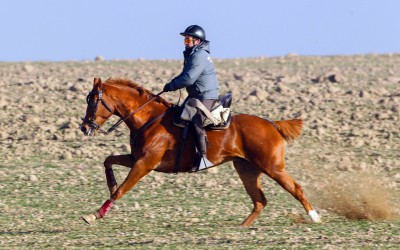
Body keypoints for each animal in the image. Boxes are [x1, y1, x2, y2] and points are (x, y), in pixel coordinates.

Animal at [80, 78, 322, 227]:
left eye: (93, 100)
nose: (84, 127)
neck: (149, 118)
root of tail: (272, 124)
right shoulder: (136, 159)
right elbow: (108, 161)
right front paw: (110, 185)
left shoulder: (145, 163)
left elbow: (121, 190)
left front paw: (94, 215)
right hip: (247, 170)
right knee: (260, 200)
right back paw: (241, 227)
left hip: (273, 168)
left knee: (296, 189)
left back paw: (315, 217)